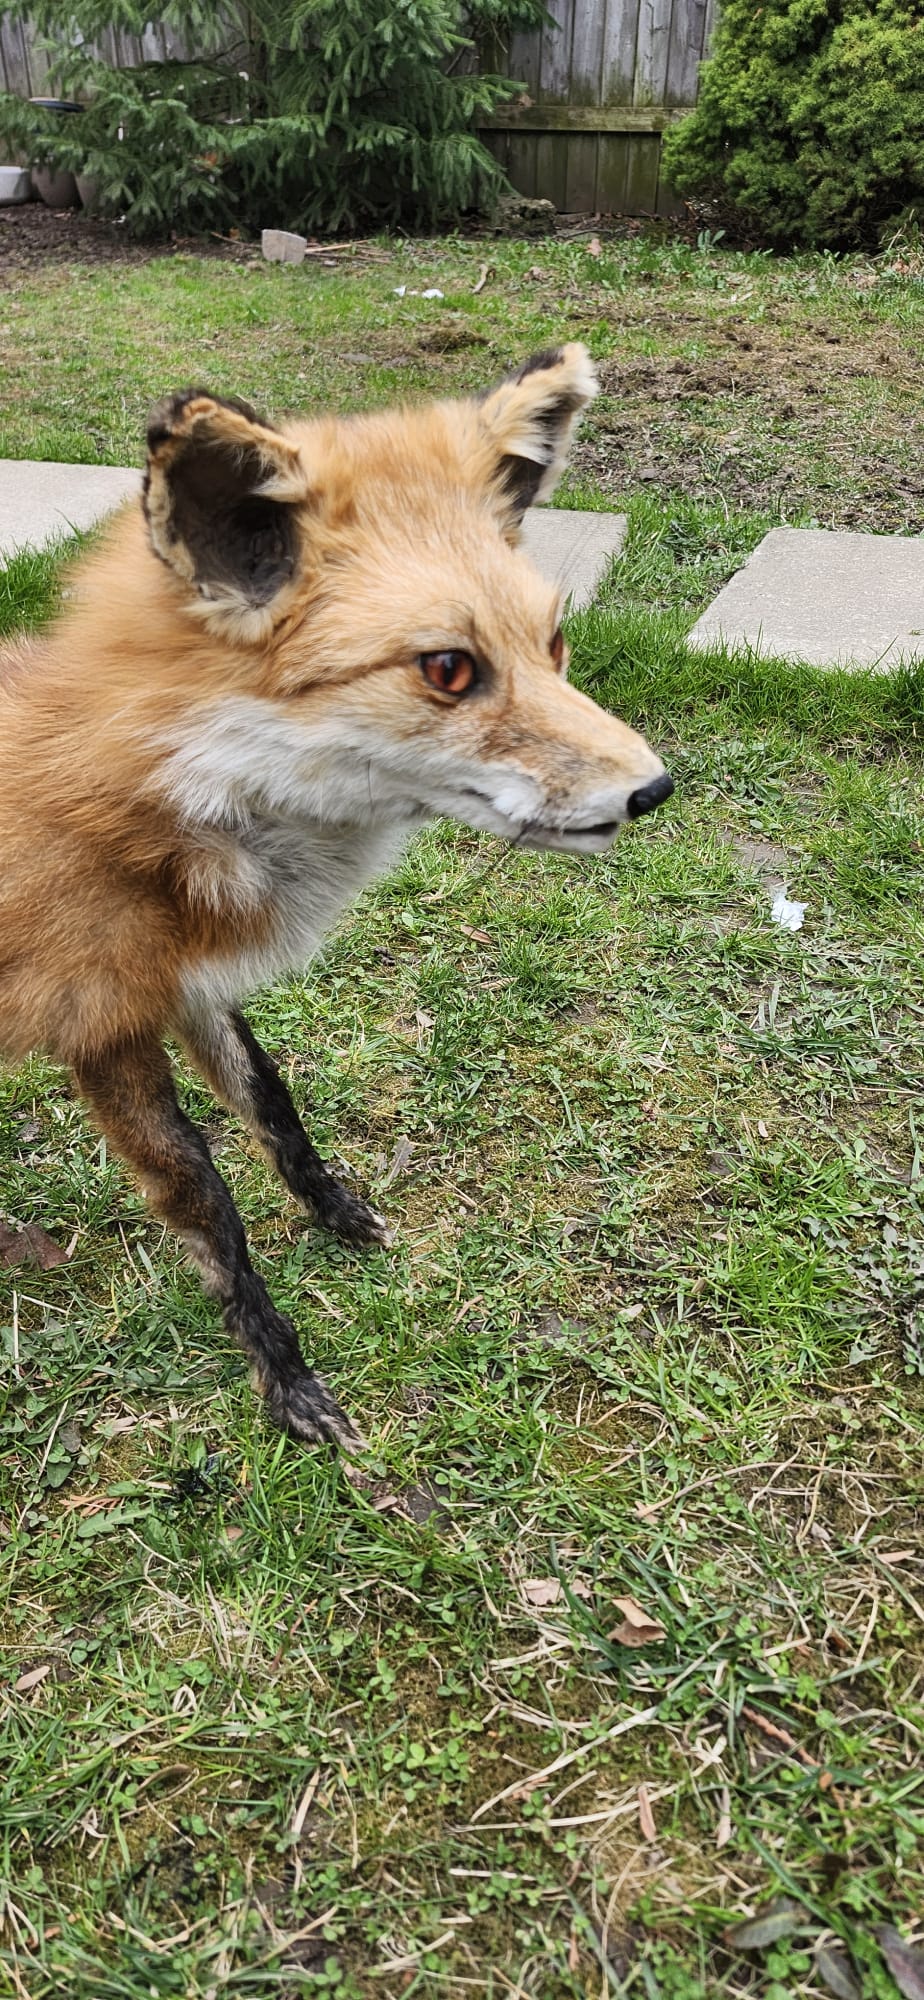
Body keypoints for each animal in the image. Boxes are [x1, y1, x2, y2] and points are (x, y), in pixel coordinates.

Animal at [0, 343, 672, 1452]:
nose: (654, 790)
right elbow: (210, 1207)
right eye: (448, 668)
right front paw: (286, 1375)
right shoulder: (103, 1021)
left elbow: (273, 1104)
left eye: (554, 645)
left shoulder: (191, 981)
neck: (145, 795)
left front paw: (337, 1211)